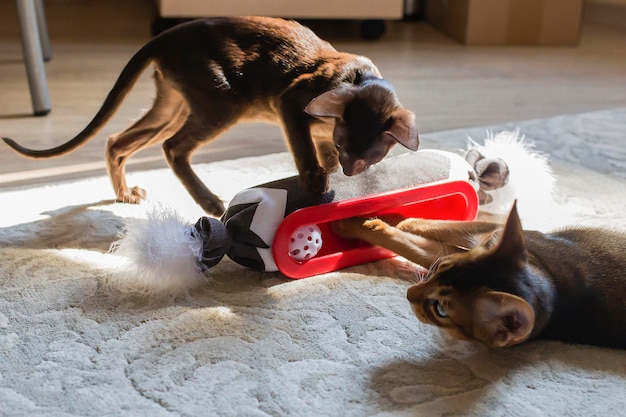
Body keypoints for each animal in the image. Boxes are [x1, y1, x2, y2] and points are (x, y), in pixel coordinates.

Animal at [4, 16, 416, 216]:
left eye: (368, 157)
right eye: (346, 145)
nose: (349, 170)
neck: (356, 77)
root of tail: (164, 37)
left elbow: (320, 154)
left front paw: (328, 172)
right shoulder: (290, 103)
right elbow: (304, 151)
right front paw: (315, 180)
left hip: (174, 105)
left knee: (117, 142)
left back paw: (124, 195)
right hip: (222, 100)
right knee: (173, 148)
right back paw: (209, 203)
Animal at [332, 203, 624, 350]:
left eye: (440, 309)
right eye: (438, 269)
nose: (409, 294)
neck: (553, 283)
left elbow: (411, 233)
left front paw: (349, 223)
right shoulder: (485, 235)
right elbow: (416, 236)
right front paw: (382, 218)